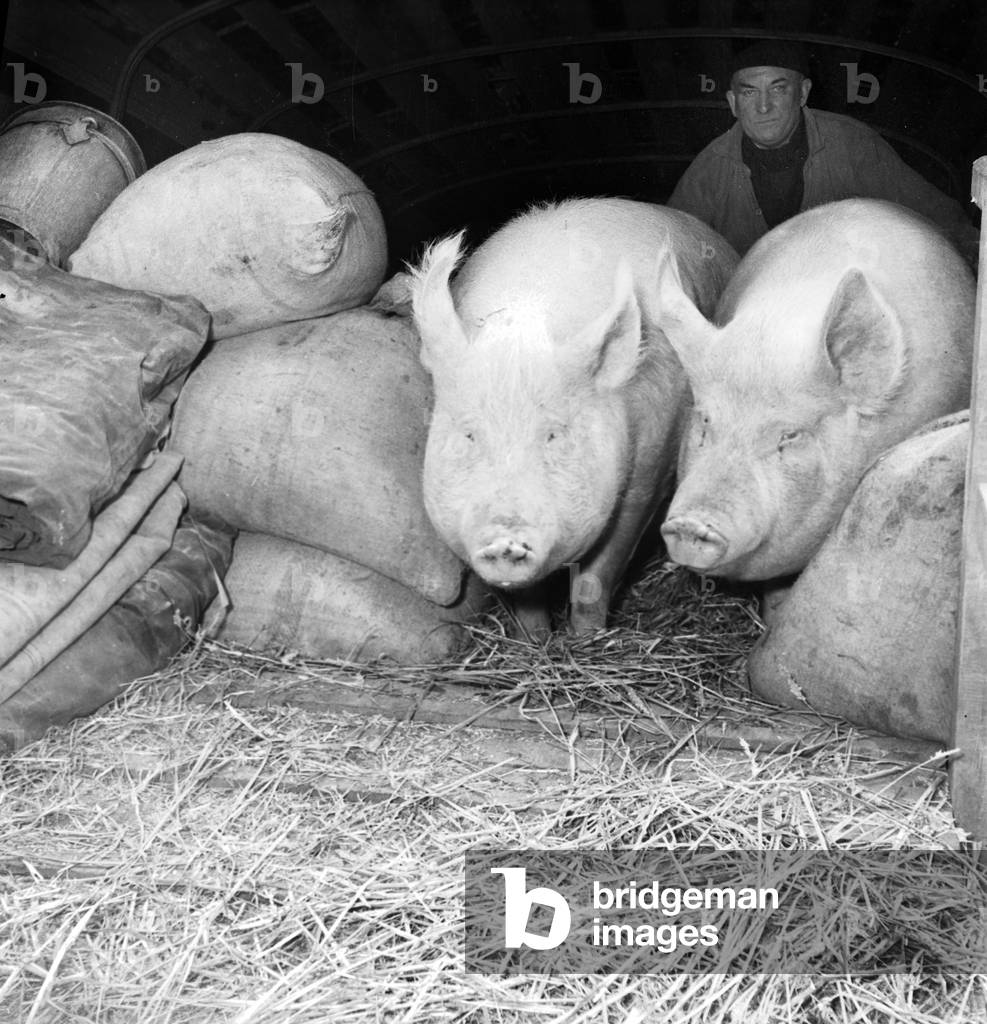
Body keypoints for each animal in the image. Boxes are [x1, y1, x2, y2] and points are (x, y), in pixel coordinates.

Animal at [410, 197, 738, 635]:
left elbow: (602, 566)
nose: (503, 540)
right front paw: (536, 640)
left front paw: (587, 636)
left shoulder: (652, 464)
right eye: (469, 435)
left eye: (555, 434)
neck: (527, 319)